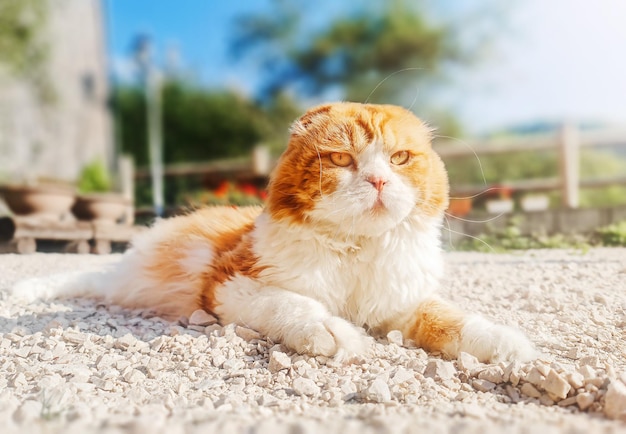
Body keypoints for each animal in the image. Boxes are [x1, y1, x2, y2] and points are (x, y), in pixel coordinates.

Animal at [11, 101, 536, 362]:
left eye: (400, 159)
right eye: (342, 159)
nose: (379, 181)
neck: (354, 252)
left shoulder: (400, 302)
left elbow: (456, 321)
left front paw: (514, 349)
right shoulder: (230, 283)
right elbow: (294, 305)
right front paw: (334, 334)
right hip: (125, 280)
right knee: (78, 277)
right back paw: (22, 292)